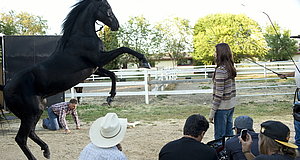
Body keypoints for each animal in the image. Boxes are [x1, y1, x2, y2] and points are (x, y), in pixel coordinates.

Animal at [0, 0, 150, 159]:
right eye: (107, 7)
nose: (116, 25)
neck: (82, 37)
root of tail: (6, 87)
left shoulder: (95, 67)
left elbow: (112, 75)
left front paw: (110, 98)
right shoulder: (99, 59)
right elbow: (123, 48)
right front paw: (144, 61)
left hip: (35, 112)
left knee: (31, 133)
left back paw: (46, 150)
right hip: (30, 114)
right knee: (21, 138)